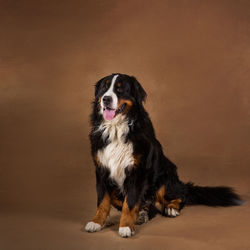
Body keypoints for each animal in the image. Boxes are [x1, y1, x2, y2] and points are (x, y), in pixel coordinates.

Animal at [84, 73, 242, 237]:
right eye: (104, 88)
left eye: (120, 89)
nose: (106, 99)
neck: (115, 128)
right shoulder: (101, 170)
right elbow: (103, 201)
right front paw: (96, 222)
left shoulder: (137, 171)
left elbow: (131, 201)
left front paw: (126, 226)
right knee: (149, 206)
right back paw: (142, 214)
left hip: (165, 177)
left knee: (181, 195)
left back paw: (171, 208)